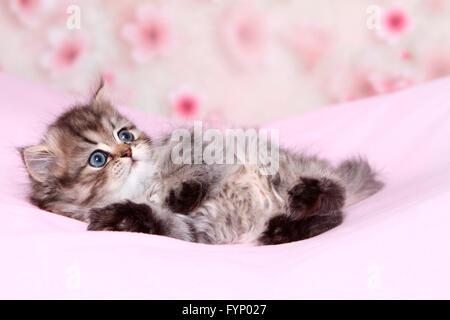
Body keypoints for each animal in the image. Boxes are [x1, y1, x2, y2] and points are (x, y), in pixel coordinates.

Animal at [21, 82, 384, 245]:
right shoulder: (196, 232)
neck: (146, 186)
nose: (127, 152)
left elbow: (200, 172)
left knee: (334, 197)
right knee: (331, 217)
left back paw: (307, 198)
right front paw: (121, 218)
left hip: (284, 172)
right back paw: (283, 228)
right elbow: (162, 221)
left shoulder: (200, 145)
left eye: (124, 134)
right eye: (97, 159)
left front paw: (184, 194)